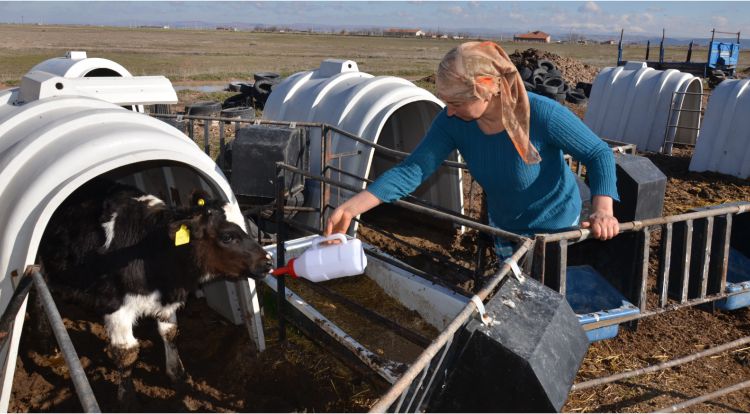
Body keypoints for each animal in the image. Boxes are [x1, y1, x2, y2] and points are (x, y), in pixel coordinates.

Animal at [38, 179, 274, 404]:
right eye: (227, 236)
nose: (267, 262)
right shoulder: (115, 305)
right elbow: (126, 352)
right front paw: (128, 399)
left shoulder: (167, 300)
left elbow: (169, 333)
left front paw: (177, 374)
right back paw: (49, 346)